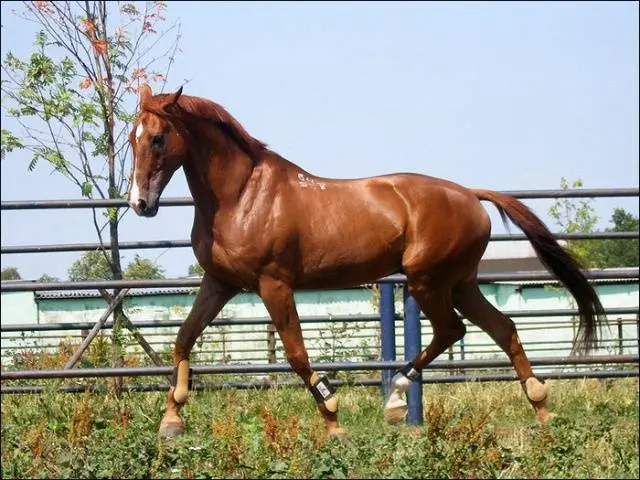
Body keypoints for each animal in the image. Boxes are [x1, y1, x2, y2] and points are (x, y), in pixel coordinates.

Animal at [129, 83, 604, 438]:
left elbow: (296, 355)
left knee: (452, 330)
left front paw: (333, 417)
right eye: (133, 138)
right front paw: (171, 419)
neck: (242, 196)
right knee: (502, 329)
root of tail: (471, 195)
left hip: (428, 280)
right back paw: (541, 407)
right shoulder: (219, 282)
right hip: (460, 283)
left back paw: (395, 399)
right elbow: (183, 338)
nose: (140, 204)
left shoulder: (273, 284)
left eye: (157, 137)